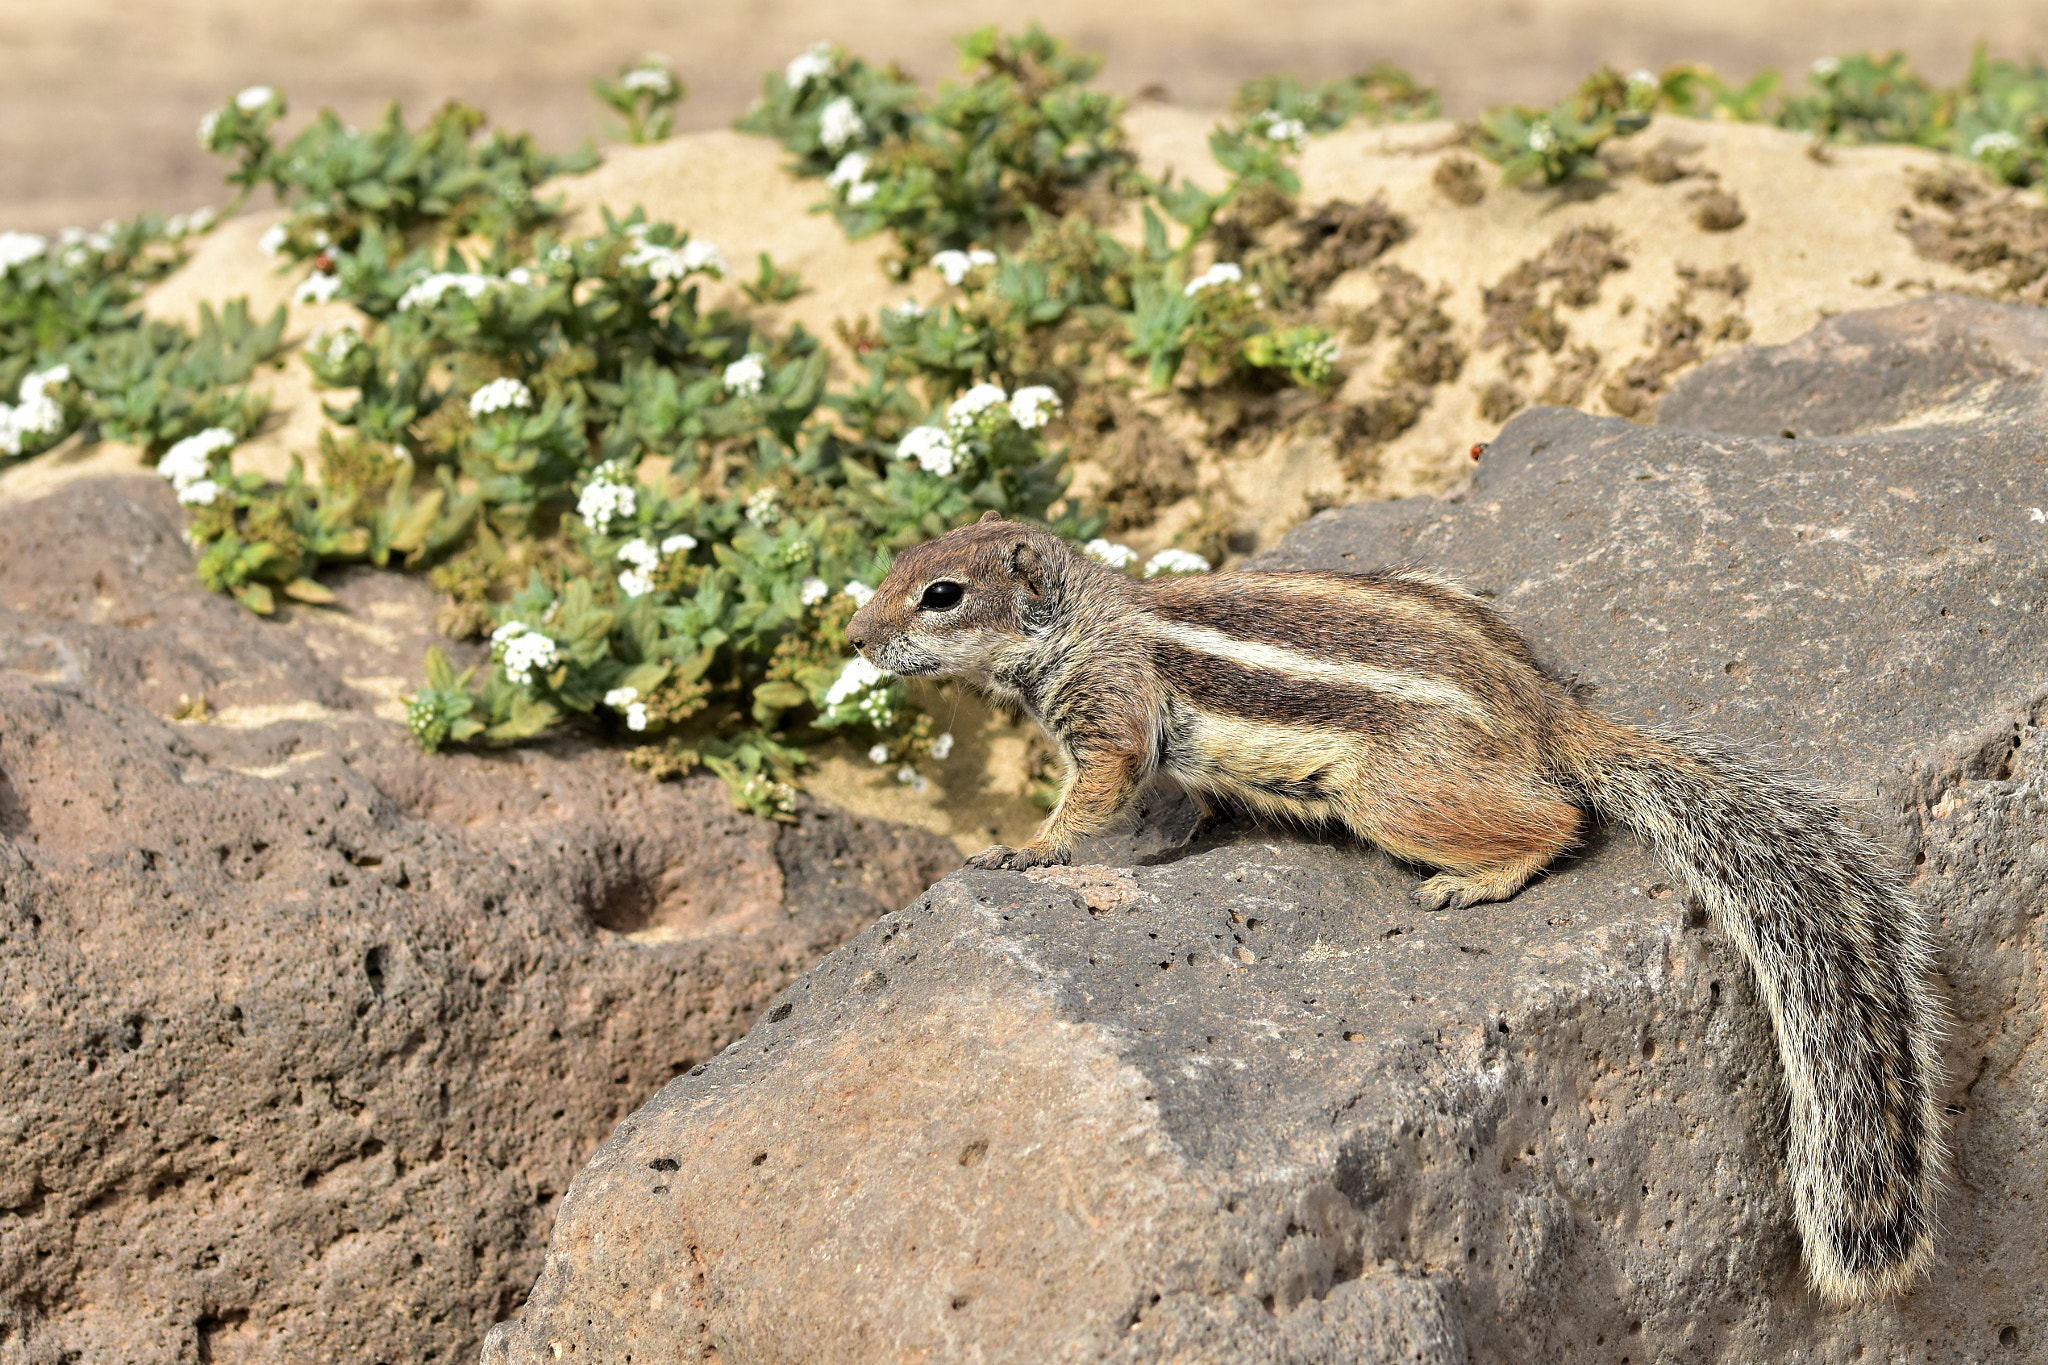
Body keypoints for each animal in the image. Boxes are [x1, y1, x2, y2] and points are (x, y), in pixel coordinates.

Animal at [845, 511, 1944, 1306]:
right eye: (896, 561)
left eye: (940, 595)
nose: (851, 635)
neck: (1085, 619)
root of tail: (1546, 711)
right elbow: (1180, 799)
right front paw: (1174, 833)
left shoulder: (1111, 715)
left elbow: (1094, 795)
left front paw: (1023, 849)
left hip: (1387, 794)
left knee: (1555, 817)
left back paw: (1475, 878)